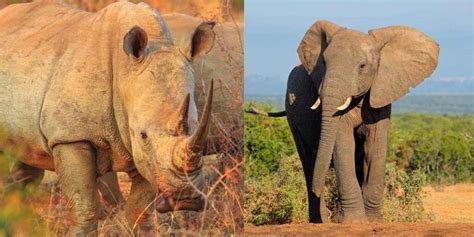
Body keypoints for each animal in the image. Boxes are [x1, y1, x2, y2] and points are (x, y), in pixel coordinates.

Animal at [246, 19, 438, 223]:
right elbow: (343, 144)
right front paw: (353, 222)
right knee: (309, 161)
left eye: (362, 66)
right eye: (323, 62)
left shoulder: (381, 94)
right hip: (292, 113)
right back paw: (320, 220)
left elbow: (375, 146)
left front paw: (372, 221)